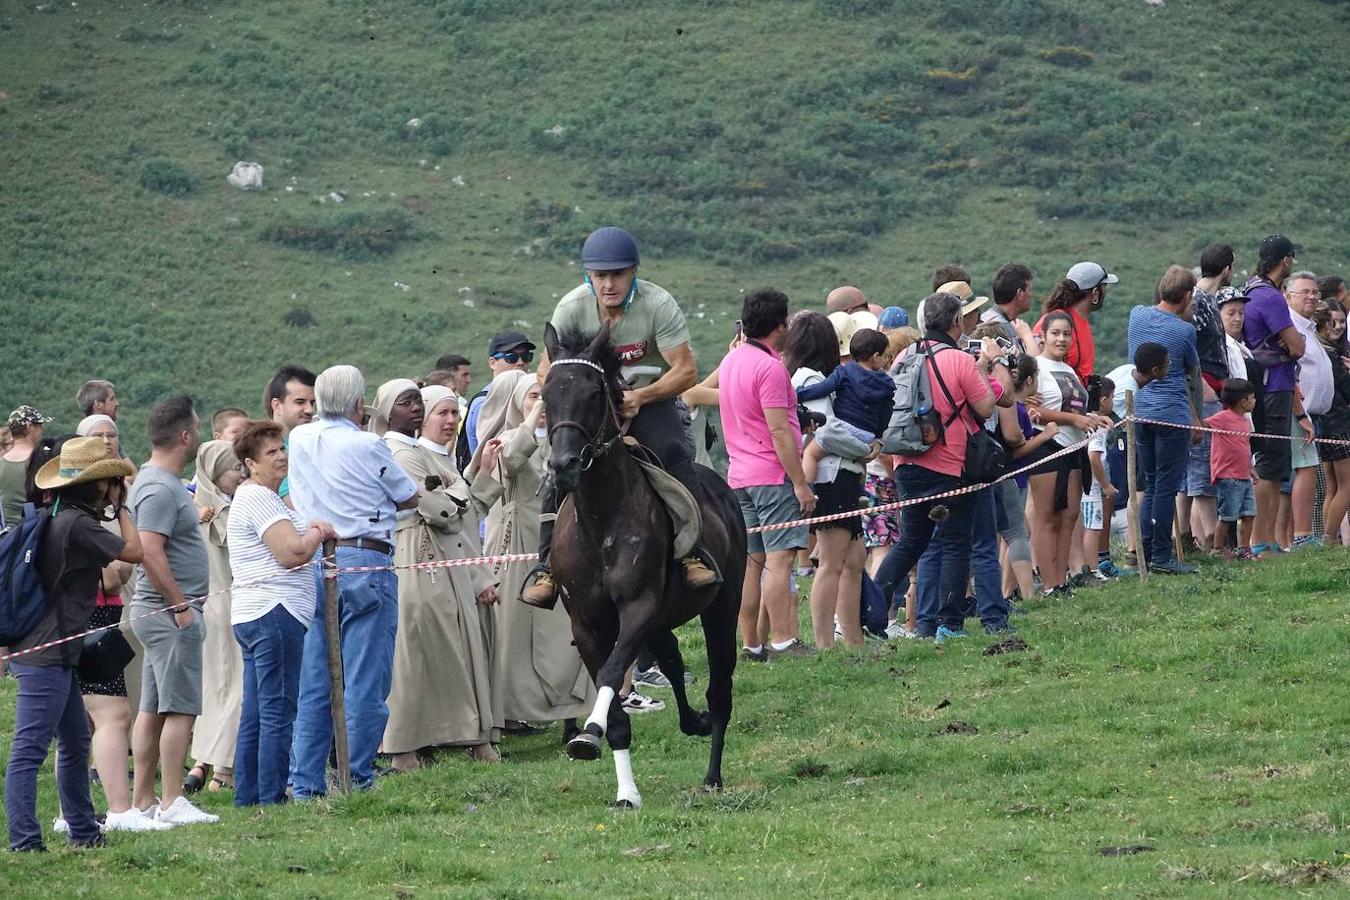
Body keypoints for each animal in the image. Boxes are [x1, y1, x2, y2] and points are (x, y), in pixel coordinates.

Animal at [537, 323, 750, 809]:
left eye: (594, 393)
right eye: (545, 394)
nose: (563, 465)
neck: (601, 518)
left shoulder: (637, 608)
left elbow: (614, 672)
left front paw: (587, 733)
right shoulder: (587, 624)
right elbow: (616, 701)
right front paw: (625, 790)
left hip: (722, 606)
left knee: (720, 689)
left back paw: (712, 772)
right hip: (663, 619)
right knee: (671, 659)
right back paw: (694, 721)